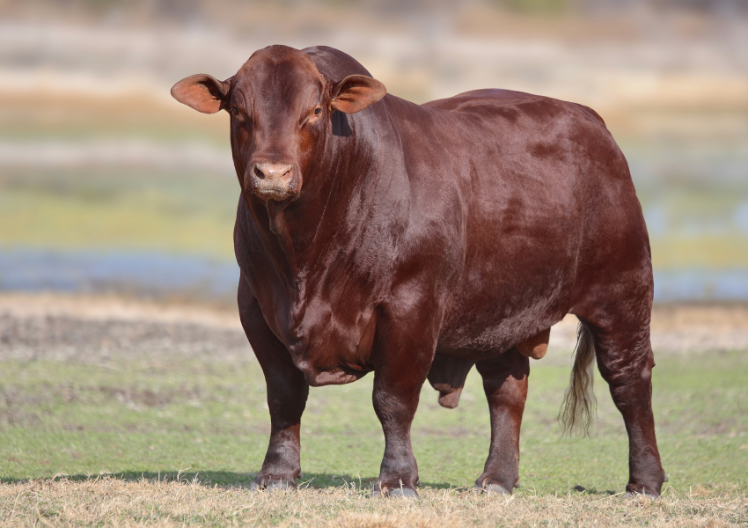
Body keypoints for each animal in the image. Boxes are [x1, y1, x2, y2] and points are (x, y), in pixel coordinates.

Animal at [171, 45, 666, 498]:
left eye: (314, 110)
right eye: (239, 111)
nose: (272, 173)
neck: (305, 259)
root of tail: (591, 121)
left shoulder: (411, 309)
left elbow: (392, 399)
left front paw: (397, 479)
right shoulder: (256, 306)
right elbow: (284, 395)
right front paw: (276, 475)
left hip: (622, 291)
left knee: (629, 380)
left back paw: (644, 481)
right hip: (499, 311)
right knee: (506, 389)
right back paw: (496, 480)